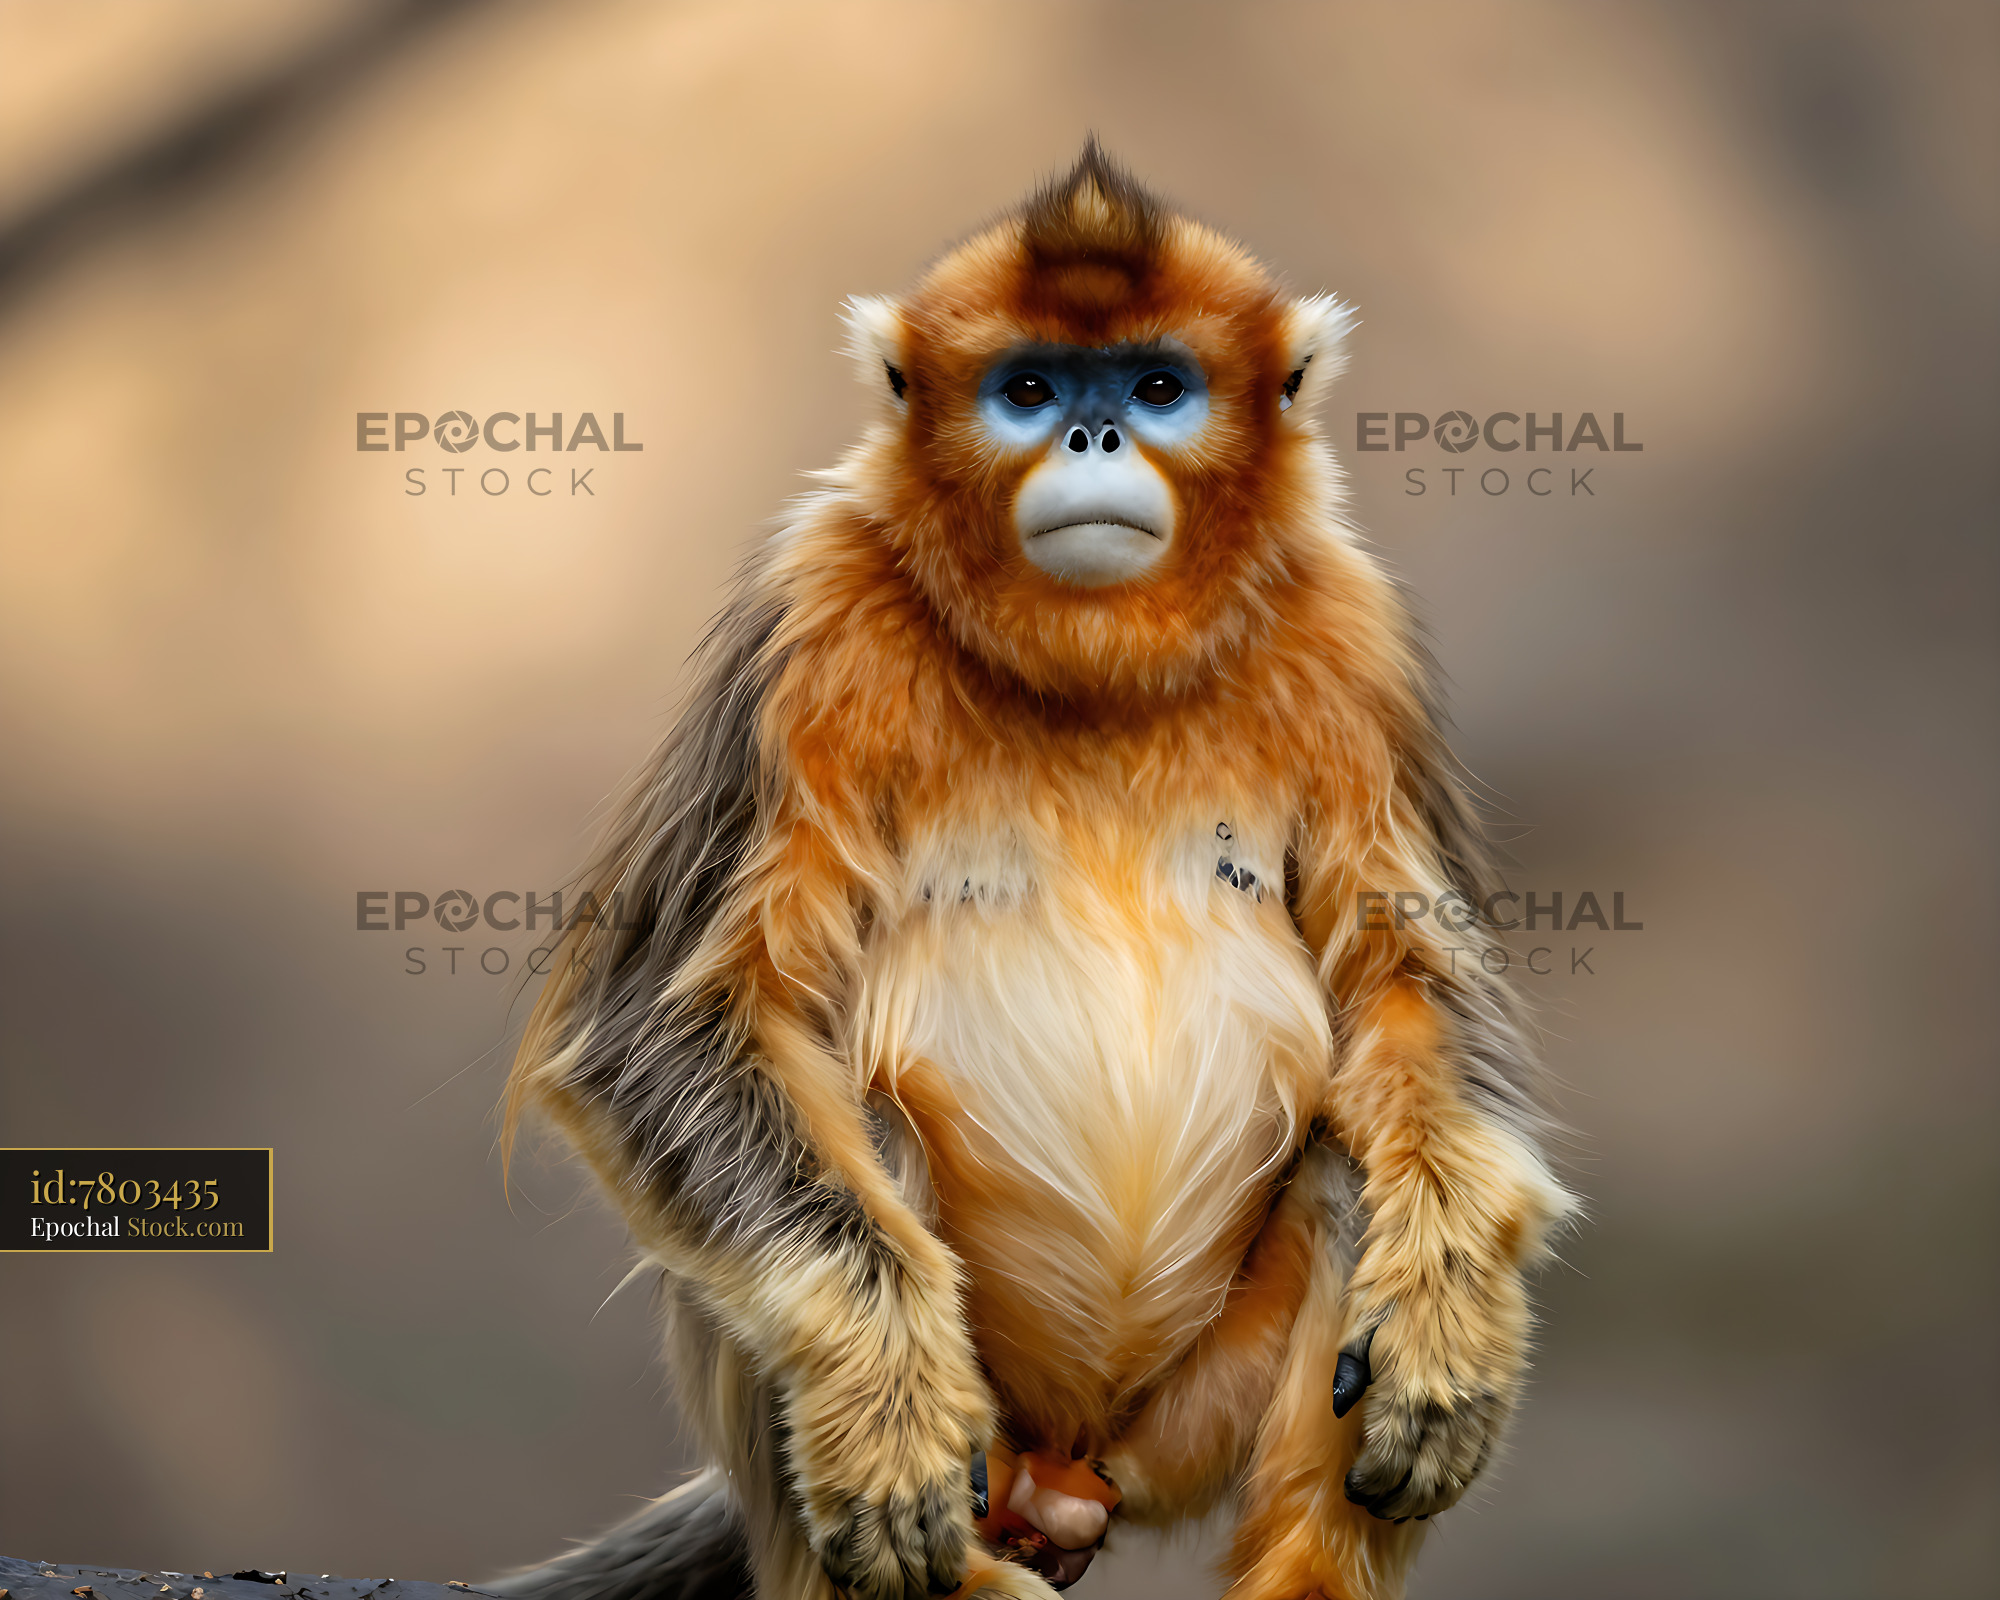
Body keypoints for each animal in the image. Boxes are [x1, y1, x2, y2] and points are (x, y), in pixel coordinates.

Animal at [492, 141, 1574, 1600]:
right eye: (1029, 390)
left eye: (1158, 388)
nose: (1092, 438)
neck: (1092, 667)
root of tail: (1062, 1464)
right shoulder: (810, 611)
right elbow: (665, 1030)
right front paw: (882, 1407)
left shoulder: (1351, 633)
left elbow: (1409, 992)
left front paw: (1445, 1328)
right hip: (975, 1429)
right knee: (848, 1118)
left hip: (1177, 1433)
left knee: (1360, 1155)